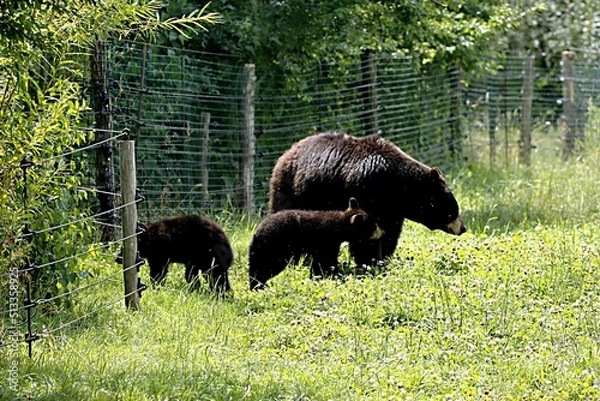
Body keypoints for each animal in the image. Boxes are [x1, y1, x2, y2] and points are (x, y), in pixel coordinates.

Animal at [270, 131, 466, 268]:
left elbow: (390, 233)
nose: (463, 228)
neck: (398, 185)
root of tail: (287, 152)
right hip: (291, 190)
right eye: (453, 209)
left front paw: (383, 259)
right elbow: (366, 232)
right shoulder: (367, 190)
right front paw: (370, 261)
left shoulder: (392, 210)